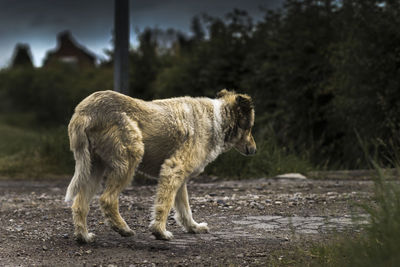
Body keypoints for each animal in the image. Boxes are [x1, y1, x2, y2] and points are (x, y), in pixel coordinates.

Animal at [64, 89, 255, 244]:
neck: (216, 119)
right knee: (107, 199)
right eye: (249, 127)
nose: (254, 150)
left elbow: (185, 209)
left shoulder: (180, 179)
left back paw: (84, 236)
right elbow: (165, 203)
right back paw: (123, 229)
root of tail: (84, 111)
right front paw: (160, 232)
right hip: (131, 157)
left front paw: (193, 228)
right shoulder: (173, 169)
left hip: (94, 167)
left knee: (79, 204)